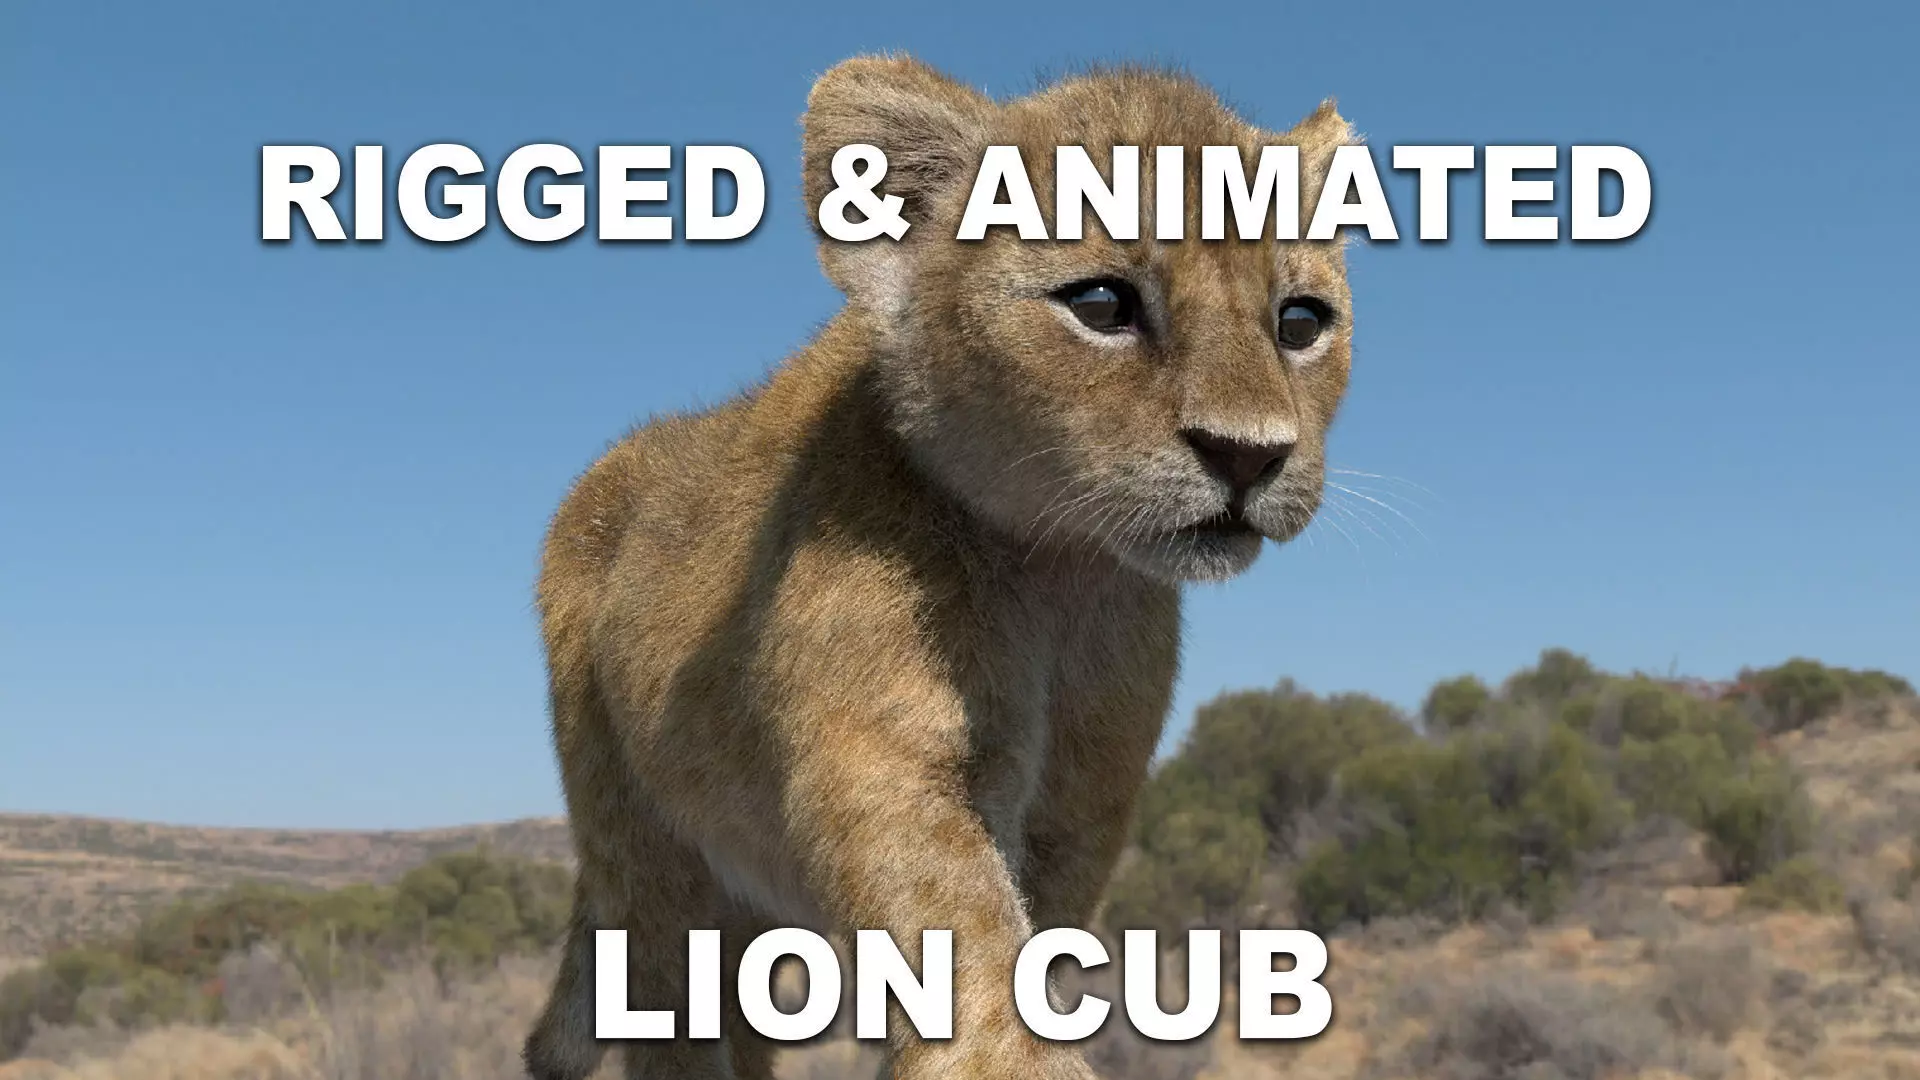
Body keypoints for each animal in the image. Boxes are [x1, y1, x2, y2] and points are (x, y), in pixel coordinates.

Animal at [522, 54, 1356, 1080]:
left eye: (1301, 321)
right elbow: (966, 946)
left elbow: (1039, 955)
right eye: (1102, 305)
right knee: (667, 1007)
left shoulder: (1081, 811)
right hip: (640, 851)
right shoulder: (888, 765)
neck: (1060, 577)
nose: (1249, 457)